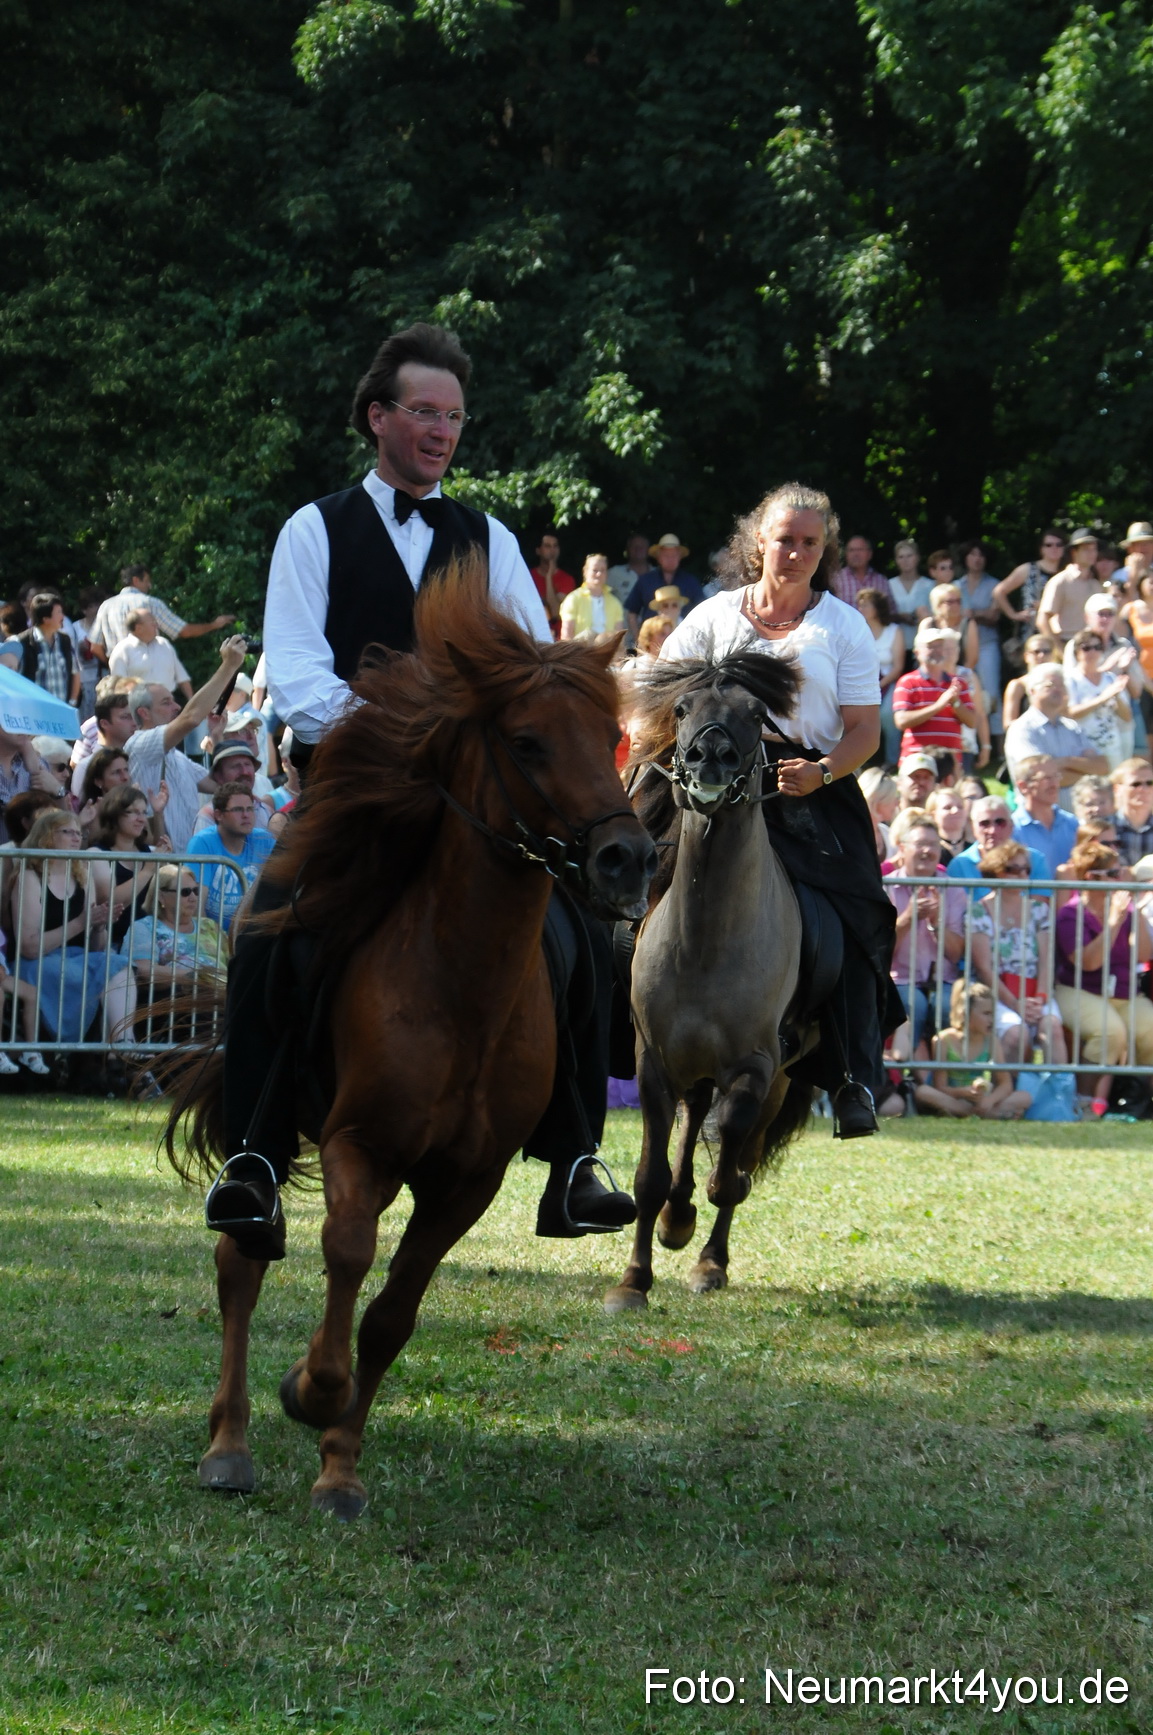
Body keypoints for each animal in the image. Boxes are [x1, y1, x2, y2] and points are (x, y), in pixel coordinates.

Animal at [166, 557, 656, 1518]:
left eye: (608, 732)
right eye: (527, 741)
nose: (626, 858)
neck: (460, 986)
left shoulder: (466, 1178)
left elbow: (393, 1309)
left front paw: (339, 1464)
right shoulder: (359, 1142)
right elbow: (346, 1252)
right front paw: (308, 1390)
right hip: (267, 1132)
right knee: (241, 1258)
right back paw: (228, 1443)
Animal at [604, 652, 818, 1312]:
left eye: (755, 712)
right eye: (680, 709)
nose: (710, 760)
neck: (706, 943)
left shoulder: (756, 1068)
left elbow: (730, 1172)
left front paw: (705, 1253)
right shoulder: (653, 1062)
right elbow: (649, 1178)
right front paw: (633, 1281)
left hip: (777, 1077)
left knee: (733, 1149)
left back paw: (704, 1248)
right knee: (696, 1117)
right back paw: (677, 1218)